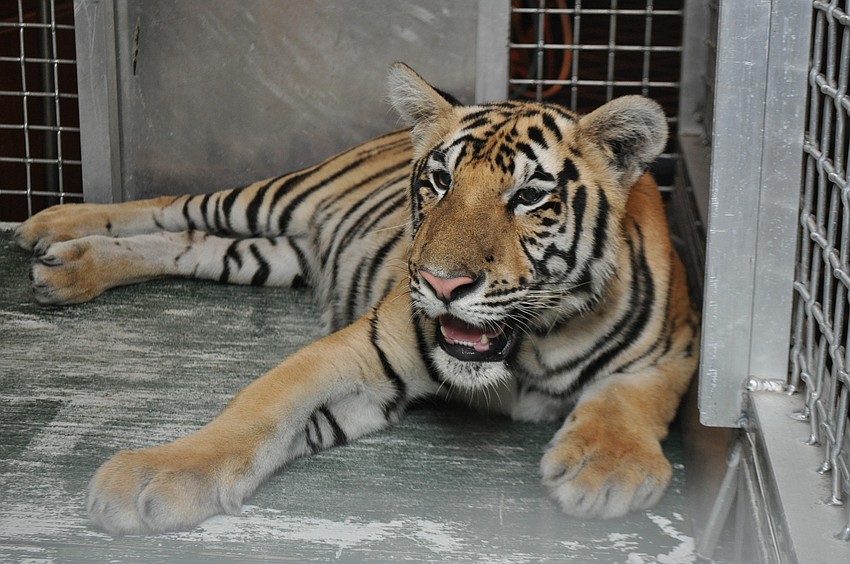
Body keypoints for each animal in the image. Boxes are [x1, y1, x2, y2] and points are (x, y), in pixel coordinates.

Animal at [14, 63, 699, 535]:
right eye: (440, 181)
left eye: (530, 196)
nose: (441, 284)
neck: (527, 346)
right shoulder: (361, 349)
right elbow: (256, 411)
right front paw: (153, 476)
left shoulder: (675, 353)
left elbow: (633, 399)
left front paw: (605, 469)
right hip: (270, 197)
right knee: (168, 205)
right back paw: (49, 227)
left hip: (263, 255)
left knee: (187, 241)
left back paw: (68, 268)